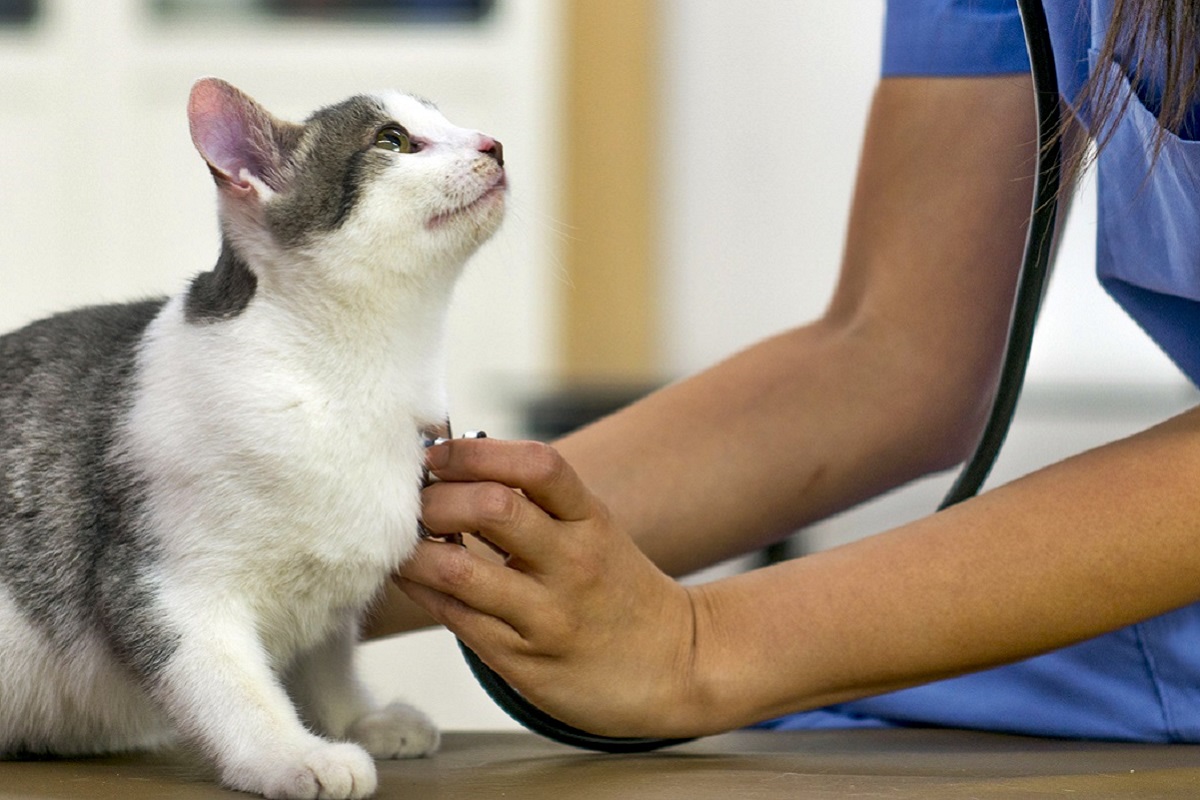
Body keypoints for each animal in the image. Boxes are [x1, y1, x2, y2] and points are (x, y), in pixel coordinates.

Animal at [0, 76, 504, 800]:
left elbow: (326, 660)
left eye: (449, 121)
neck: (354, 381)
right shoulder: (164, 584)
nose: (493, 144)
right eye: (393, 141)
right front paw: (292, 753)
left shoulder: (329, 600)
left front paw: (357, 718)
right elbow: (231, 685)